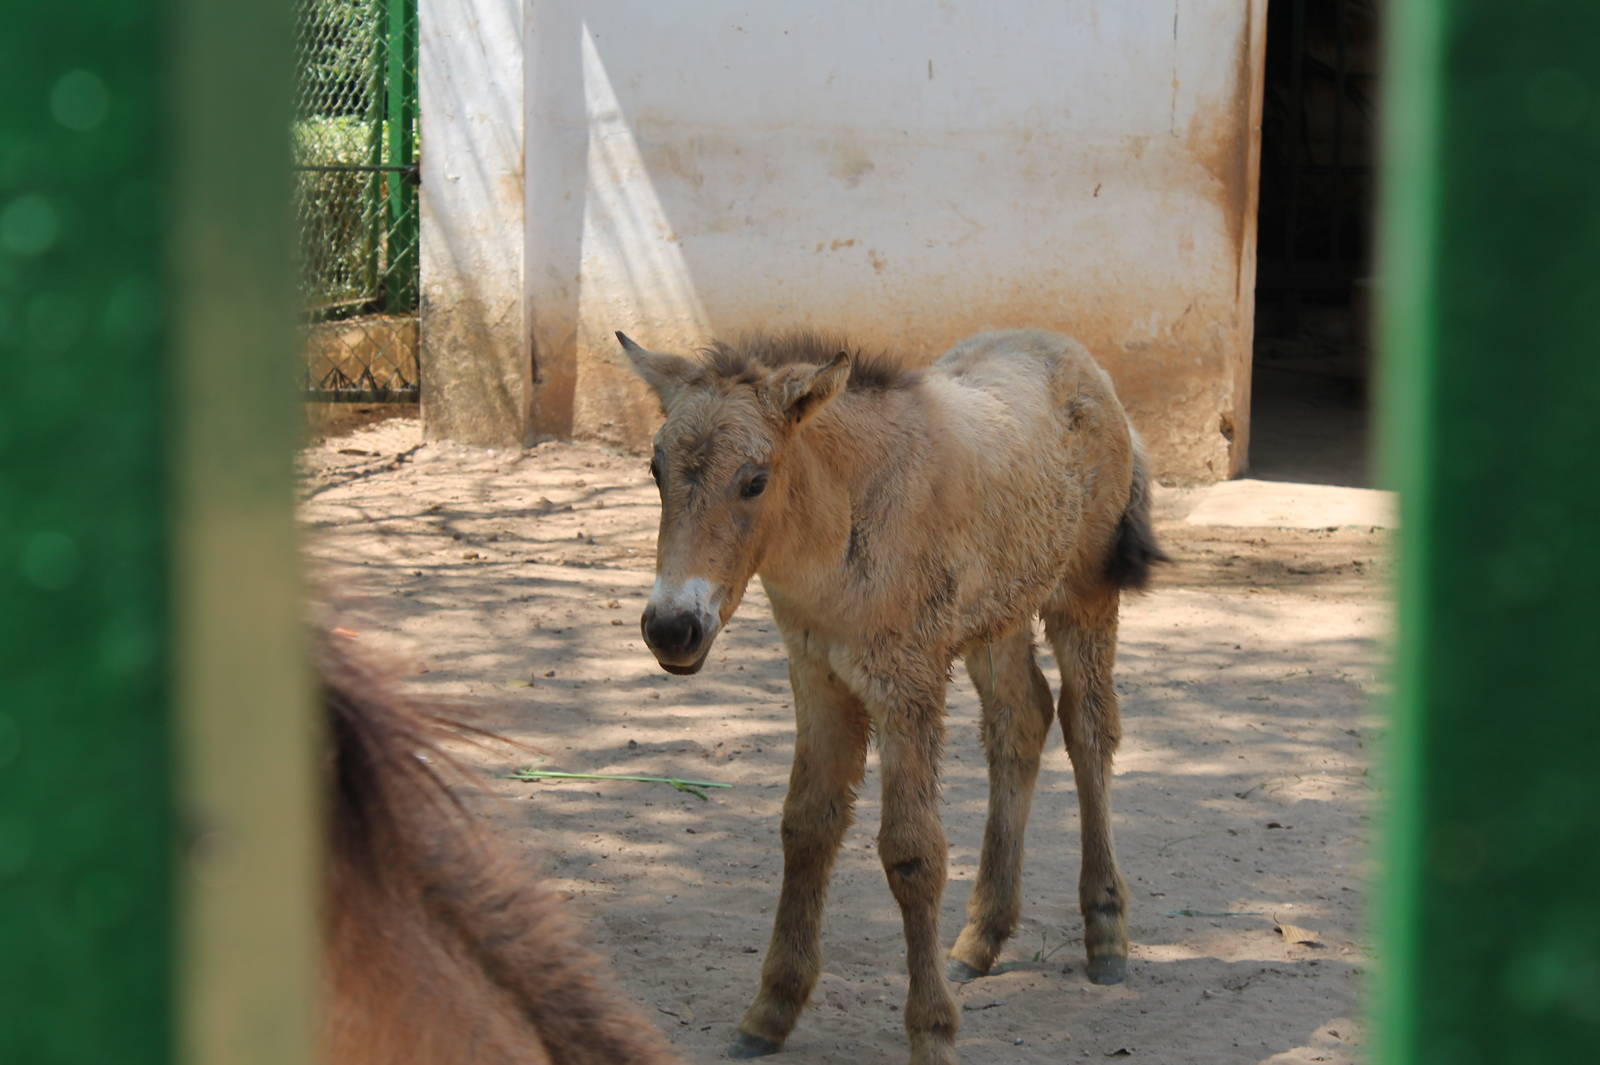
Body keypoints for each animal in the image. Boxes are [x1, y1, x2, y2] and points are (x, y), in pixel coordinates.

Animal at [617, 327, 1166, 1065]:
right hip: (996, 618)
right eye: (655, 471)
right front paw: (771, 1011)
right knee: (1021, 721)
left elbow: (912, 853)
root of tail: (1080, 360)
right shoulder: (817, 678)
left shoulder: (907, 686)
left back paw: (1106, 933)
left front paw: (932, 1029)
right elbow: (806, 826)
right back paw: (981, 937)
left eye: (755, 480)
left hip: (1081, 594)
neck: (840, 533)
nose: (673, 628)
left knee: (1089, 727)